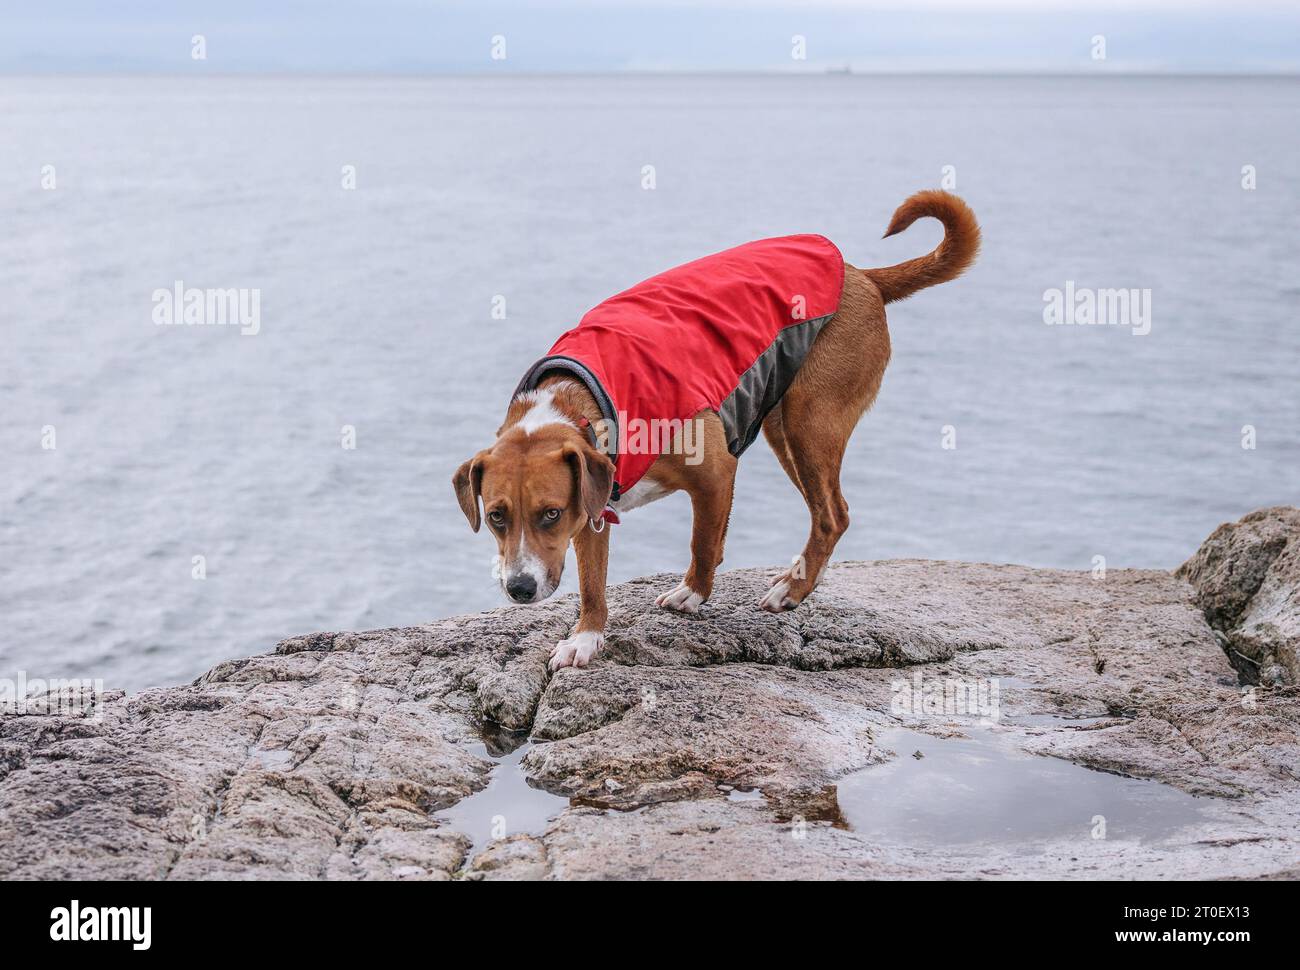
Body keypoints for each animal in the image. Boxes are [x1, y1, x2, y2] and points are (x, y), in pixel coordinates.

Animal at [454, 191, 977, 670]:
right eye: (496, 517)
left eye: (550, 514)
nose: (519, 588)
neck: (584, 396)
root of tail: (864, 276)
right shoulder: (593, 507)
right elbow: (592, 583)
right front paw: (586, 638)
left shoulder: (714, 474)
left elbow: (703, 542)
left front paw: (693, 593)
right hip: (782, 427)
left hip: (809, 423)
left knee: (833, 514)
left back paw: (794, 589)